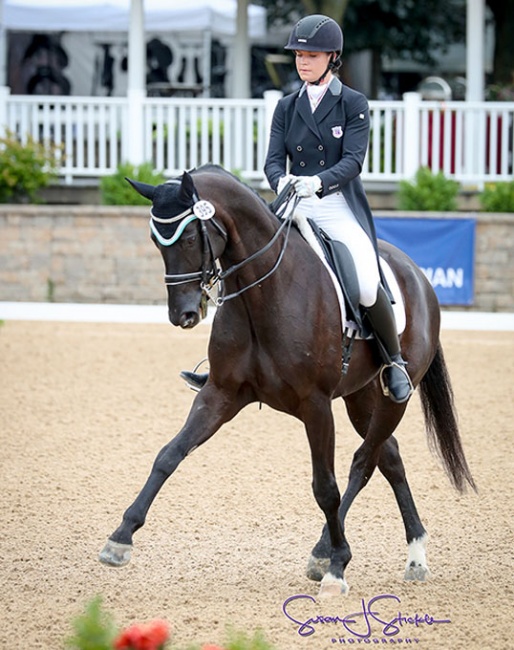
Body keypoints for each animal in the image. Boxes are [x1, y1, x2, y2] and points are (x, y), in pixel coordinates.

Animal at [98, 165, 474, 596]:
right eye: (155, 241)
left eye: (191, 236)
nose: (184, 315)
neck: (263, 290)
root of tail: (417, 275)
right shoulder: (220, 394)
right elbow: (168, 455)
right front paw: (120, 539)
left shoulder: (316, 405)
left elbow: (325, 487)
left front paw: (338, 568)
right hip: (360, 397)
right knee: (389, 457)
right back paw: (409, 555)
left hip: (395, 396)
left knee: (364, 461)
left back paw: (338, 554)